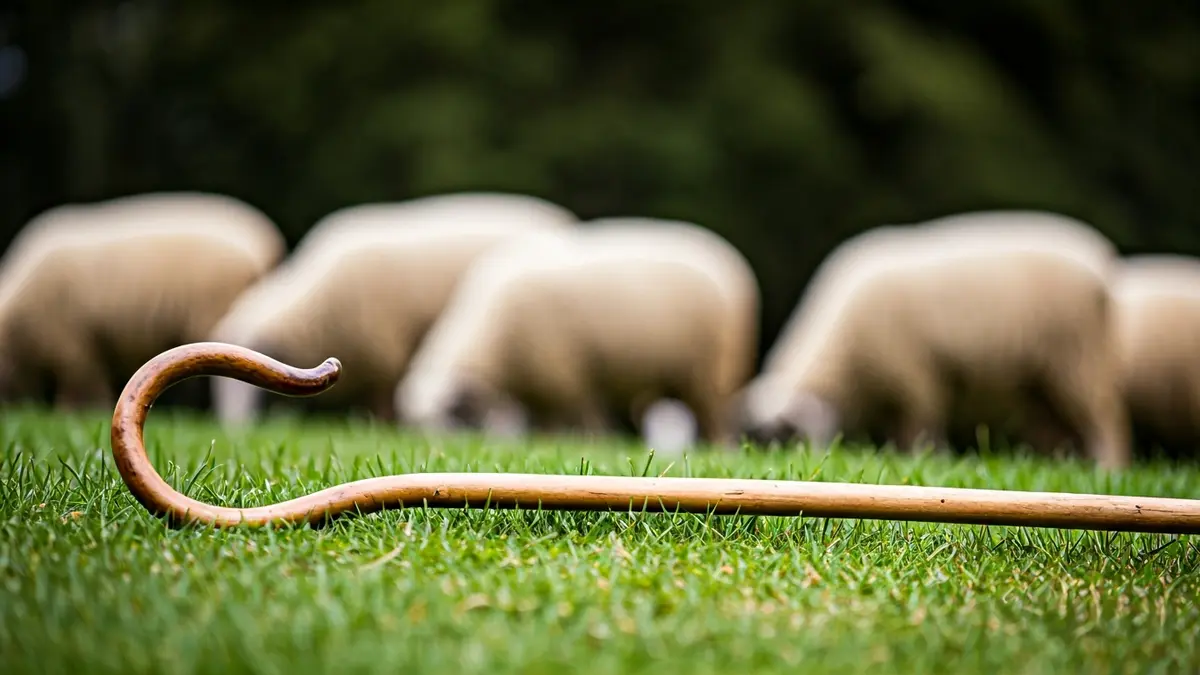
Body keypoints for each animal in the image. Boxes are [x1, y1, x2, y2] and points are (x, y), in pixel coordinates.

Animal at [395, 217, 761, 448]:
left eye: (453, 416)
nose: (441, 449)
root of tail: (721, 251)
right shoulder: (543, 385)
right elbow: (548, 426)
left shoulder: (568, 377)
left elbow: (586, 421)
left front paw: (594, 444)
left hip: (711, 371)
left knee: (714, 418)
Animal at [736, 210, 1131, 469]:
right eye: (758, 439)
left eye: (787, 436)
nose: (773, 461)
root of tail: (1101, 256)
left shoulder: (915, 376)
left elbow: (921, 430)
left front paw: (930, 460)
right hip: (1039, 376)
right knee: (1055, 428)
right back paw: (1056, 465)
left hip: (1078, 356)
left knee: (1106, 420)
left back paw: (1107, 468)